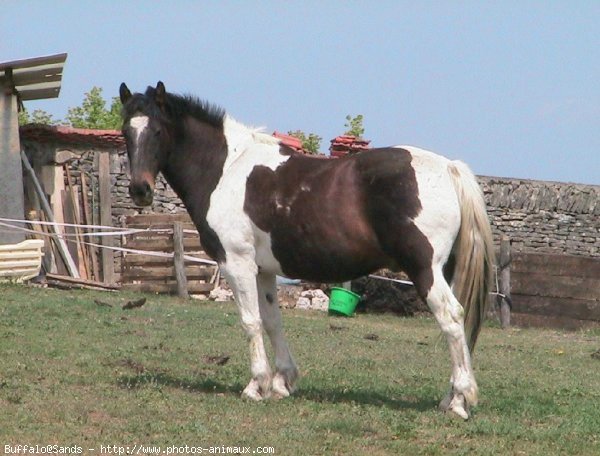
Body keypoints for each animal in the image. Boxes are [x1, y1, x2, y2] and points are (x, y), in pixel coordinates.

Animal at [119, 80, 494, 418]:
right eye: (126, 132)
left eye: (158, 131)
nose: (140, 190)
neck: (225, 170)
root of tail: (449, 167)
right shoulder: (263, 270)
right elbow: (272, 321)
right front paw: (281, 382)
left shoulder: (237, 263)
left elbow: (251, 321)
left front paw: (256, 385)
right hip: (444, 270)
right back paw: (450, 398)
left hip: (424, 269)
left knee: (451, 318)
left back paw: (460, 402)